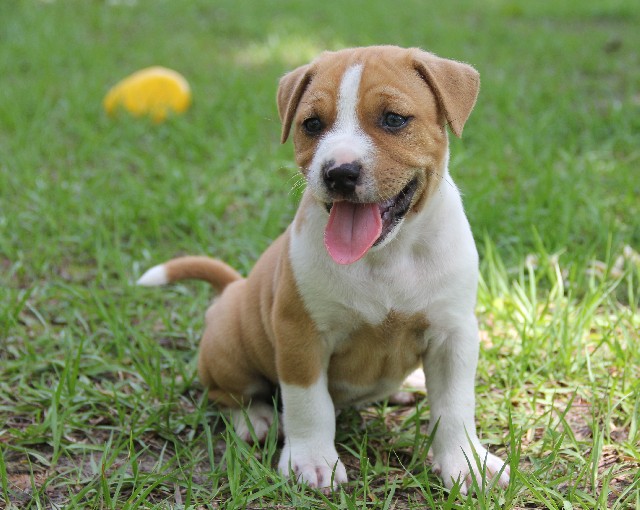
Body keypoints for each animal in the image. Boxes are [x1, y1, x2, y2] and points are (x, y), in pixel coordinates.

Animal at [139, 45, 510, 492]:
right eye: (312, 124)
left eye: (394, 119)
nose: (339, 172)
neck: (386, 256)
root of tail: (234, 289)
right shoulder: (301, 335)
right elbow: (308, 403)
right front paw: (312, 461)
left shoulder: (453, 334)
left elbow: (455, 406)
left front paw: (467, 462)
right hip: (228, 351)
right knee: (228, 394)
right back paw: (255, 419)